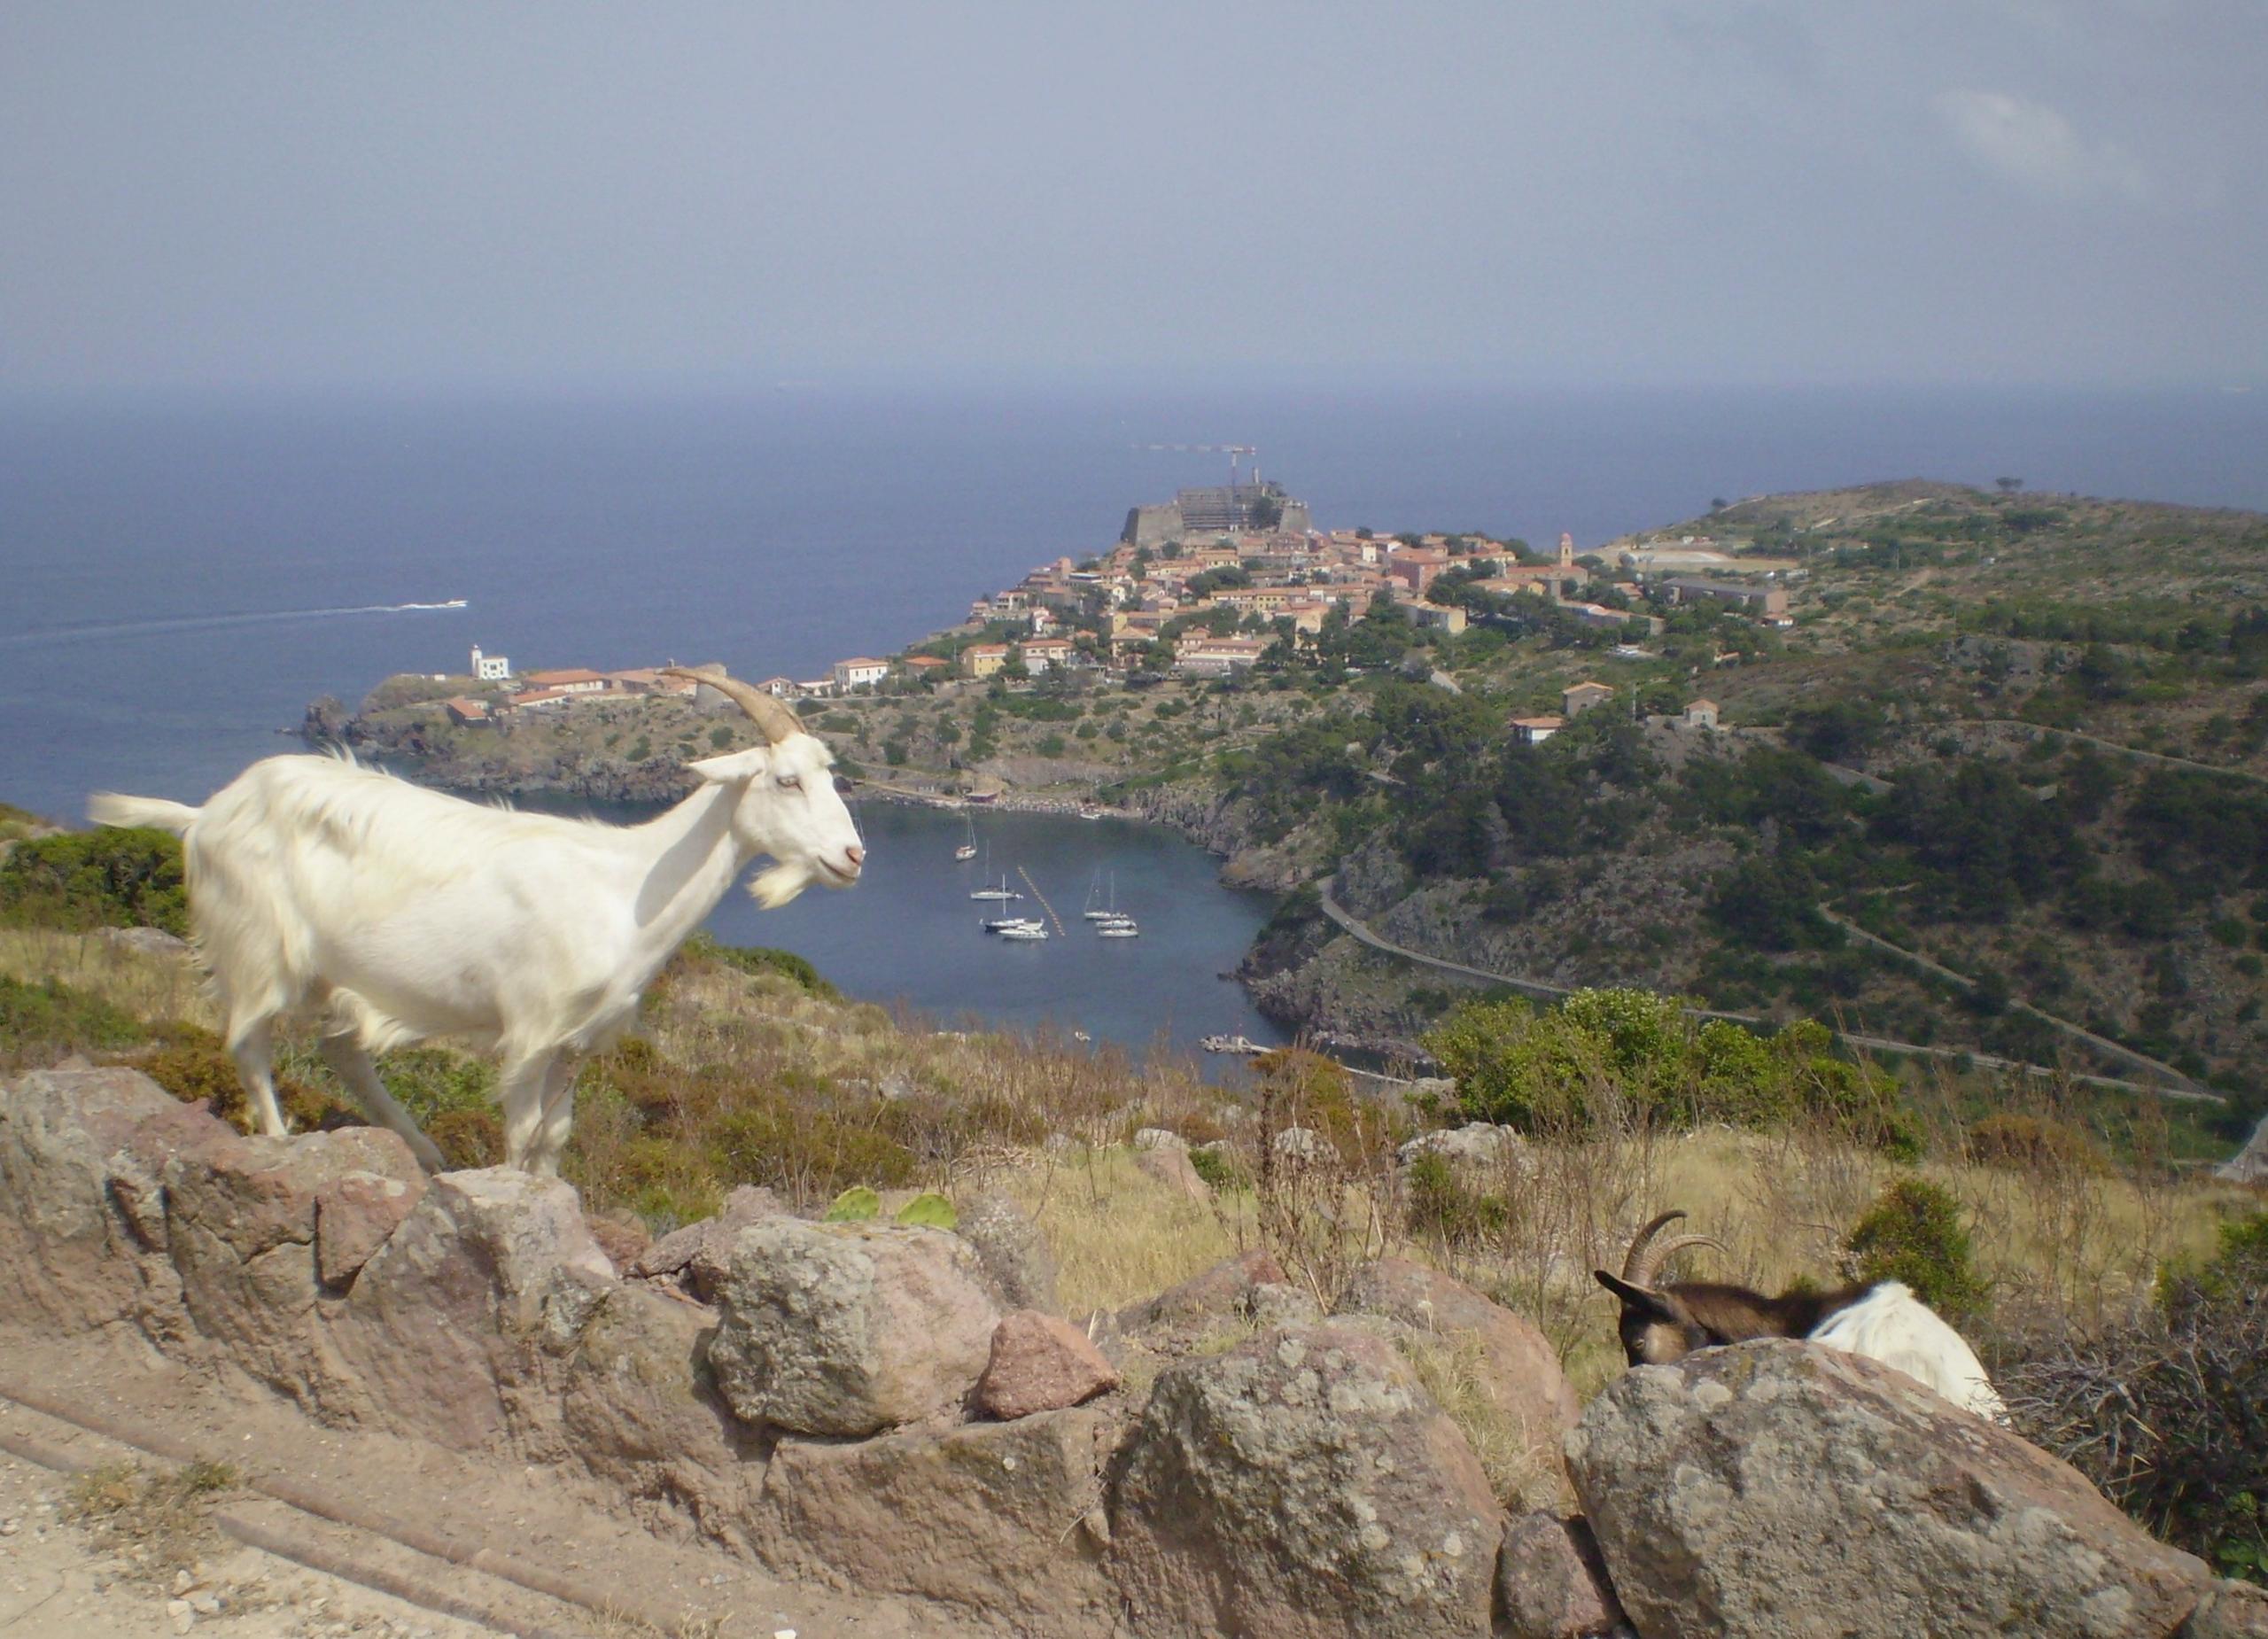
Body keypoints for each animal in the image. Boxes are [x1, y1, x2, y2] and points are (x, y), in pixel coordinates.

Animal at [88, 671, 857, 1178]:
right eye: (786, 780)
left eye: (831, 775)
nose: (853, 856)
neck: (625, 886)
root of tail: (206, 814)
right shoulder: (530, 1032)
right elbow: (522, 1135)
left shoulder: (579, 1042)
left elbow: (557, 1135)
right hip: (257, 949)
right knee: (249, 1047)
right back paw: (280, 1145)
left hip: (334, 974)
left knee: (344, 1053)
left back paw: (425, 1153)